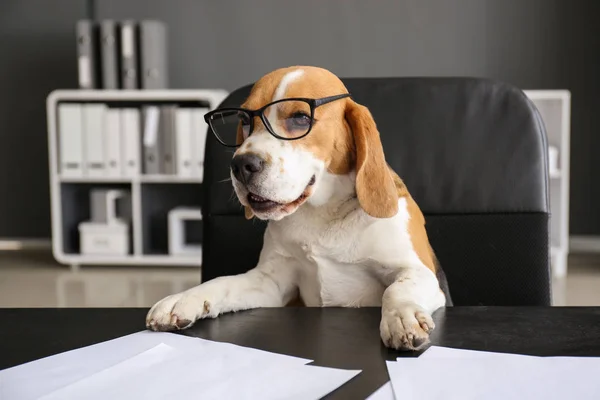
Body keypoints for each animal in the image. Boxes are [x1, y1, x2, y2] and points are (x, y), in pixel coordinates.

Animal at [148, 65, 452, 350]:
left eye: (300, 118)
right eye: (245, 120)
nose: (241, 165)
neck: (322, 215)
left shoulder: (418, 272)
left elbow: (397, 290)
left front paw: (403, 318)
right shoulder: (272, 283)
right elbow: (221, 281)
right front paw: (183, 299)